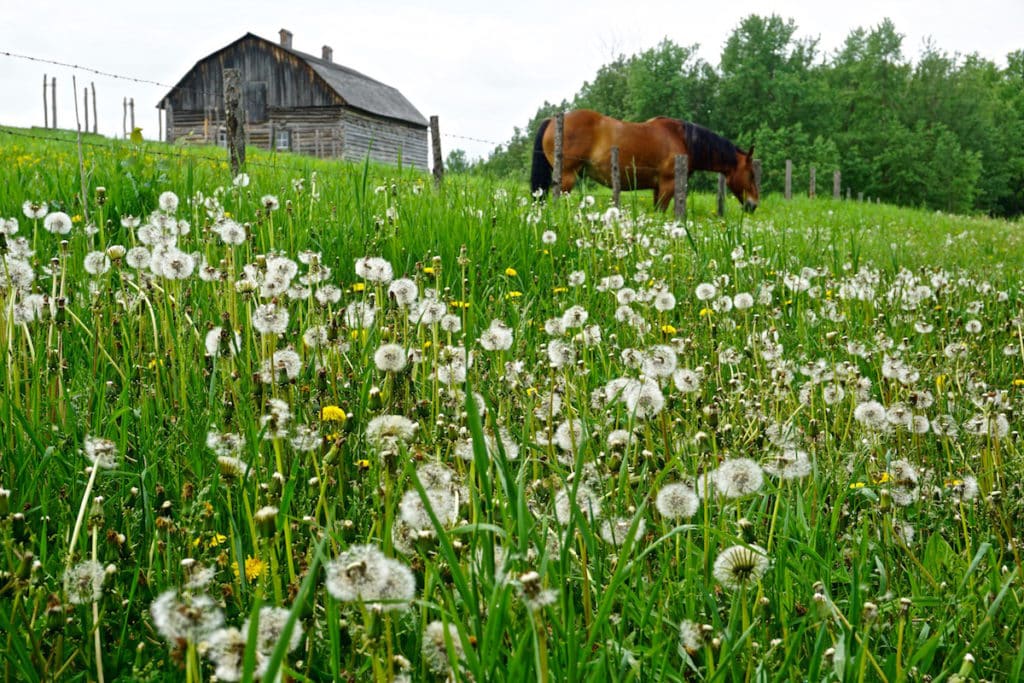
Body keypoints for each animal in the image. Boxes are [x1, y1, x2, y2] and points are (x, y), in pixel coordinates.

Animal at [532, 109, 757, 211]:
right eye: (751, 175)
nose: (754, 204)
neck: (682, 139)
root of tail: (553, 120)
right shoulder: (668, 186)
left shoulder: (658, 188)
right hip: (567, 178)